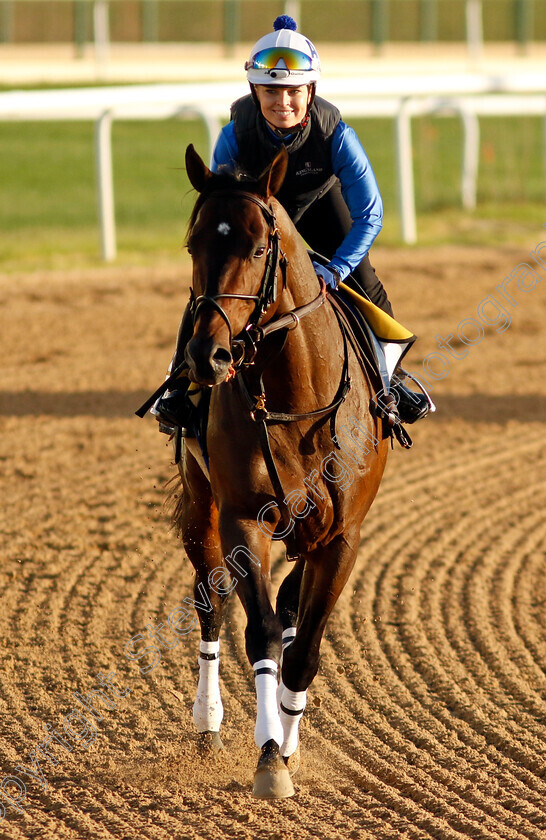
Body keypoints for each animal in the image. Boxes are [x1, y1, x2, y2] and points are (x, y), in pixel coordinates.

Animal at [170, 146, 386, 800]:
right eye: (194, 244)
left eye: (258, 249)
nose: (206, 356)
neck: (296, 400)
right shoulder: (243, 520)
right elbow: (262, 632)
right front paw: (268, 755)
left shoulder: (341, 537)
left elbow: (304, 648)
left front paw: (287, 742)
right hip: (200, 507)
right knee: (211, 603)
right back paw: (209, 722)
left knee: (290, 616)